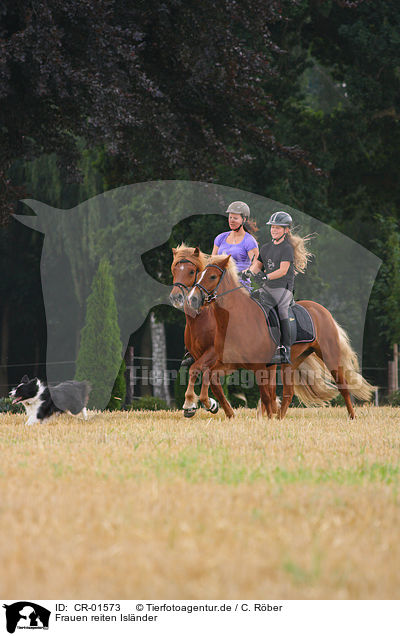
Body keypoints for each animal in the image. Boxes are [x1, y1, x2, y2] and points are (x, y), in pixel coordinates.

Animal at [169, 246, 234, 420]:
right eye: (174, 270)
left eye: (192, 271)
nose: (176, 297)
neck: (200, 318)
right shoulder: (199, 355)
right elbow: (206, 376)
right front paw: (210, 404)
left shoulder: (212, 353)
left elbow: (196, 370)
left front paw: (191, 402)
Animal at [188, 251, 376, 420]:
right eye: (199, 275)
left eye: (212, 276)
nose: (192, 299)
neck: (236, 319)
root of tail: (322, 310)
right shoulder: (230, 363)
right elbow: (211, 378)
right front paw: (214, 406)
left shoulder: (259, 366)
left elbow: (265, 395)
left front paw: (267, 418)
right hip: (291, 363)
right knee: (289, 392)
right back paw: (279, 417)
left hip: (329, 355)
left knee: (342, 386)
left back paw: (352, 416)